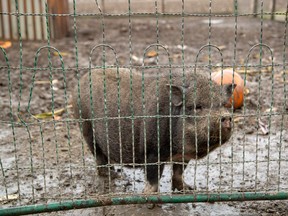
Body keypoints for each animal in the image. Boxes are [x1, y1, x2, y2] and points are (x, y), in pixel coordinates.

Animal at [72, 67, 234, 192]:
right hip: (86, 127)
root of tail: (82, 80)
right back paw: (114, 175)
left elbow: (178, 173)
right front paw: (150, 199)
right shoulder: (152, 151)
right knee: (98, 156)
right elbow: (153, 179)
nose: (226, 117)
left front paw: (188, 189)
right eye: (197, 107)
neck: (176, 149)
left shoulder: (183, 156)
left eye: (224, 104)